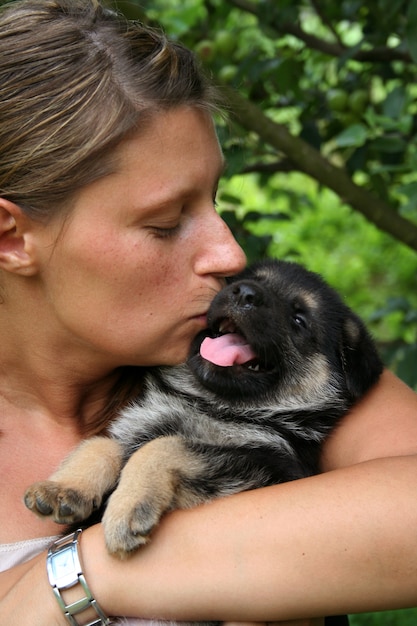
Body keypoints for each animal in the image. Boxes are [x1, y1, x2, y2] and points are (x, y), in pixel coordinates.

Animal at [24, 256, 382, 560]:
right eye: (245, 279)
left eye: (299, 319)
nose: (245, 293)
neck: (207, 404)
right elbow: (103, 444)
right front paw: (64, 487)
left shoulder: (266, 470)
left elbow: (164, 446)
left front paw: (127, 507)